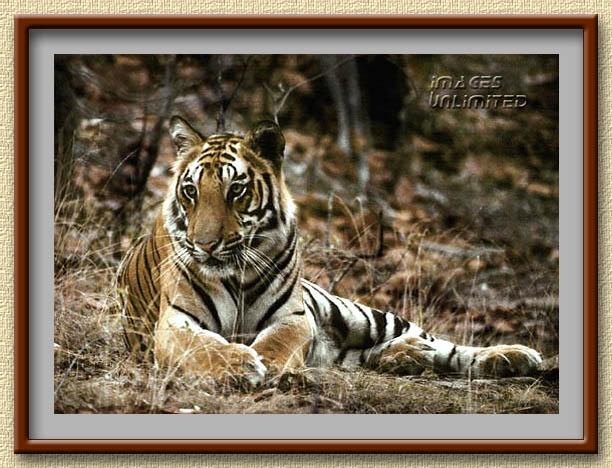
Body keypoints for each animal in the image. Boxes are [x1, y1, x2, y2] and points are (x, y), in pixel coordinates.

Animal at [117, 114, 544, 388]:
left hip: (357, 313)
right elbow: (204, 347)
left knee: (443, 343)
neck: (236, 273)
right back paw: (406, 357)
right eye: (191, 191)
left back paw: (512, 356)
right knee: (373, 354)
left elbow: (275, 343)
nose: (205, 245)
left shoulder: (293, 317)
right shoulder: (175, 322)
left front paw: (269, 366)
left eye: (235, 190)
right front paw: (239, 364)